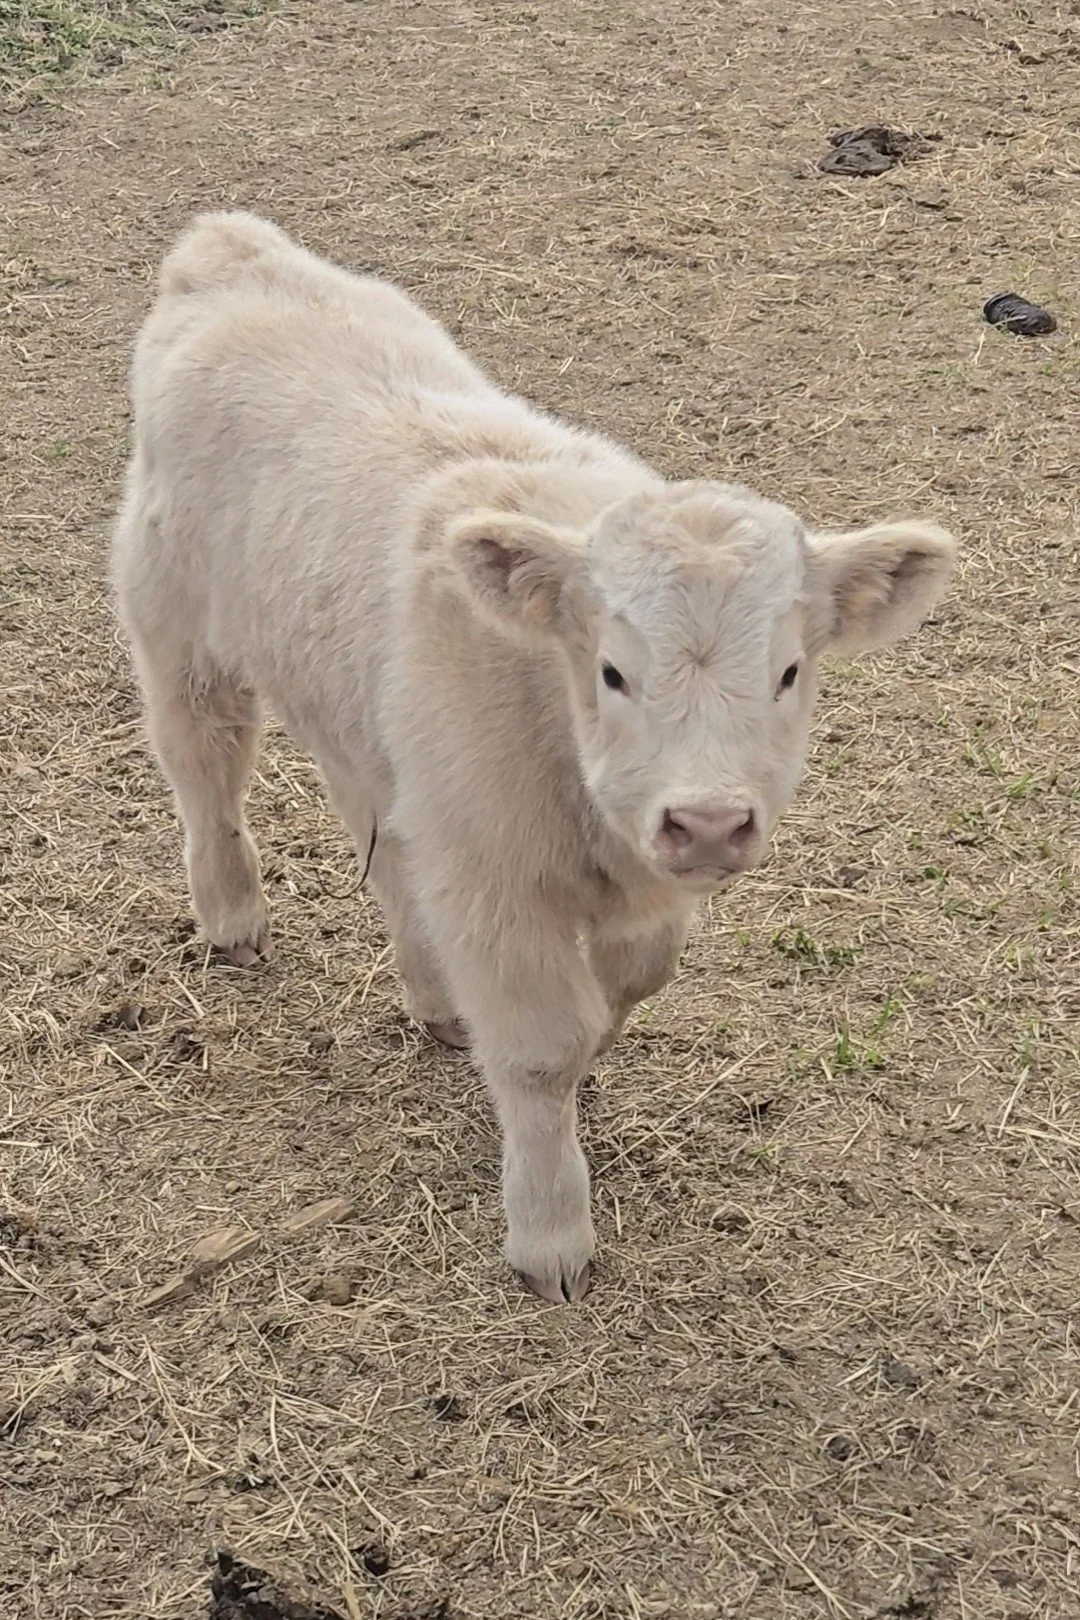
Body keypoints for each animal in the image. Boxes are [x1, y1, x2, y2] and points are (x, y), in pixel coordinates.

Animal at [113, 212, 956, 1302]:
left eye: (789, 672)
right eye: (610, 671)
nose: (710, 823)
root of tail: (225, 250)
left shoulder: (612, 868)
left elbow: (630, 983)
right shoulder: (496, 879)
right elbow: (544, 1053)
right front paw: (551, 1232)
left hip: (370, 725)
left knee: (383, 844)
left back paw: (433, 997)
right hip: (177, 627)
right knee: (204, 768)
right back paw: (233, 918)